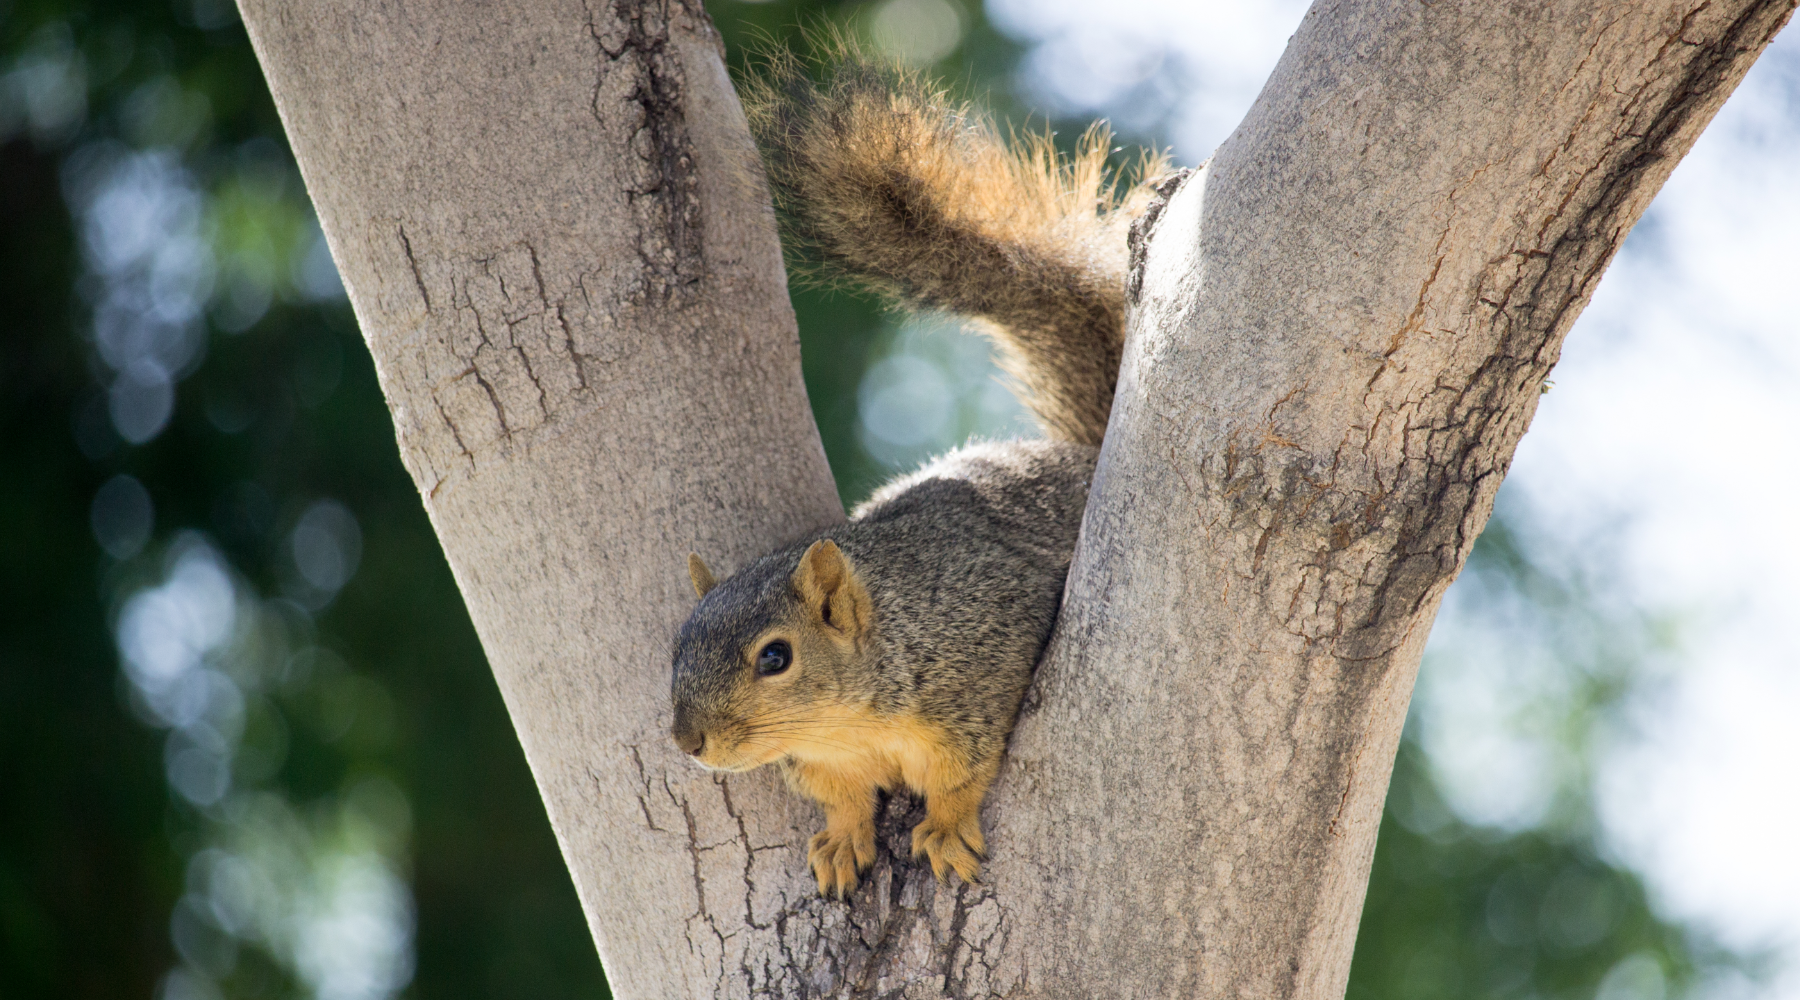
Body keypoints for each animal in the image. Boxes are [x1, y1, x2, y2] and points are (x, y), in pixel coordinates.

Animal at [669, 46, 1173, 899]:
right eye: (677, 644)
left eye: (776, 657)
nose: (688, 739)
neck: (848, 721)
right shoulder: (822, 763)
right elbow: (842, 800)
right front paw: (843, 839)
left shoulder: (983, 663)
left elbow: (961, 774)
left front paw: (942, 828)